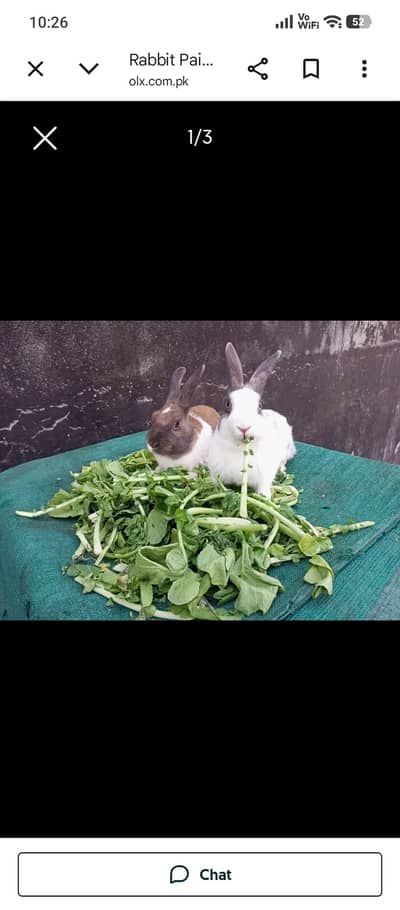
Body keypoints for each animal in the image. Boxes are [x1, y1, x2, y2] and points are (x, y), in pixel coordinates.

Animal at [207, 343, 296, 499]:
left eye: (259, 406)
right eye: (227, 403)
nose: (244, 427)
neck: (240, 448)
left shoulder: (265, 476)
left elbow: (263, 488)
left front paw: (265, 497)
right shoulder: (215, 472)